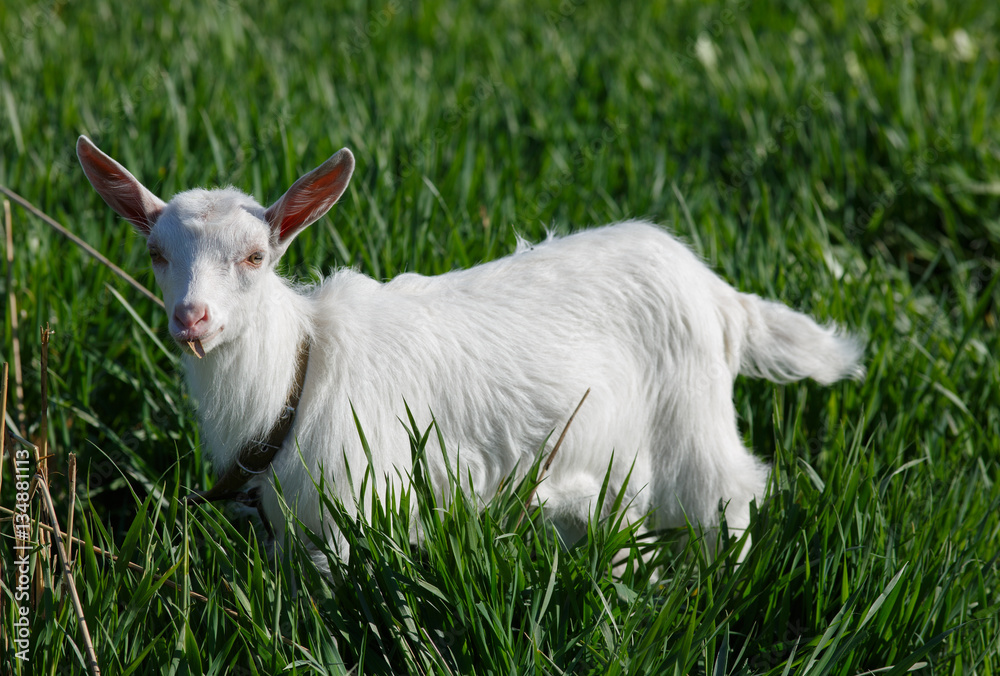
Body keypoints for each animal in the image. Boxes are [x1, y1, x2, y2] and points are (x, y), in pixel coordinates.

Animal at [78, 137, 864, 564]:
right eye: (156, 254)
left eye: (255, 257)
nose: (193, 319)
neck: (297, 371)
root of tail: (714, 291)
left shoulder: (360, 504)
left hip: (694, 423)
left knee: (733, 494)